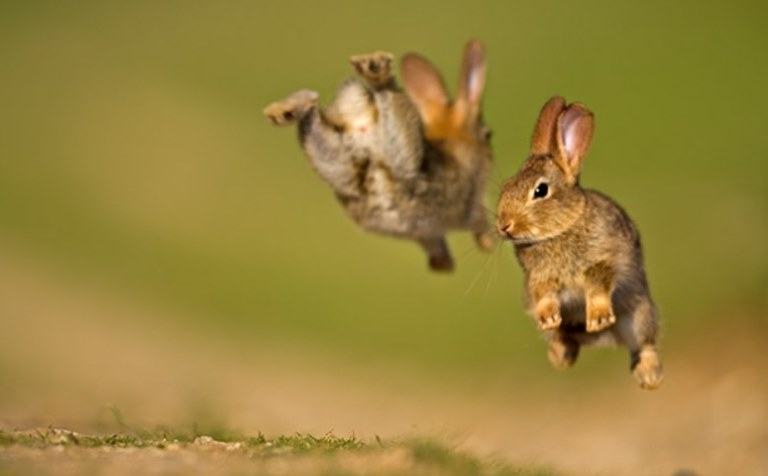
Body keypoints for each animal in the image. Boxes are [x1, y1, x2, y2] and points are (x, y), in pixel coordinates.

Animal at [263, 41, 494, 272]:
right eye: (488, 134)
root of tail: (361, 123)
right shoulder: (471, 204)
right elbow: (480, 220)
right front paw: (486, 244)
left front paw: (442, 262)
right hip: (405, 159)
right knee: (387, 92)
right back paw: (376, 69)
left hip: (336, 162)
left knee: (311, 115)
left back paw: (282, 111)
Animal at [495, 96, 663, 389]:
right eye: (506, 186)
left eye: (540, 190)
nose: (504, 225)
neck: (560, 230)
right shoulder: (538, 278)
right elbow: (544, 295)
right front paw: (548, 317)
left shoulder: (603, 261)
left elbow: (597, 286)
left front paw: (598, 318)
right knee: (564, 340)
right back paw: (560, 355)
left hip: (640, 315)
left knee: (643, 344)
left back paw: (650, 377)